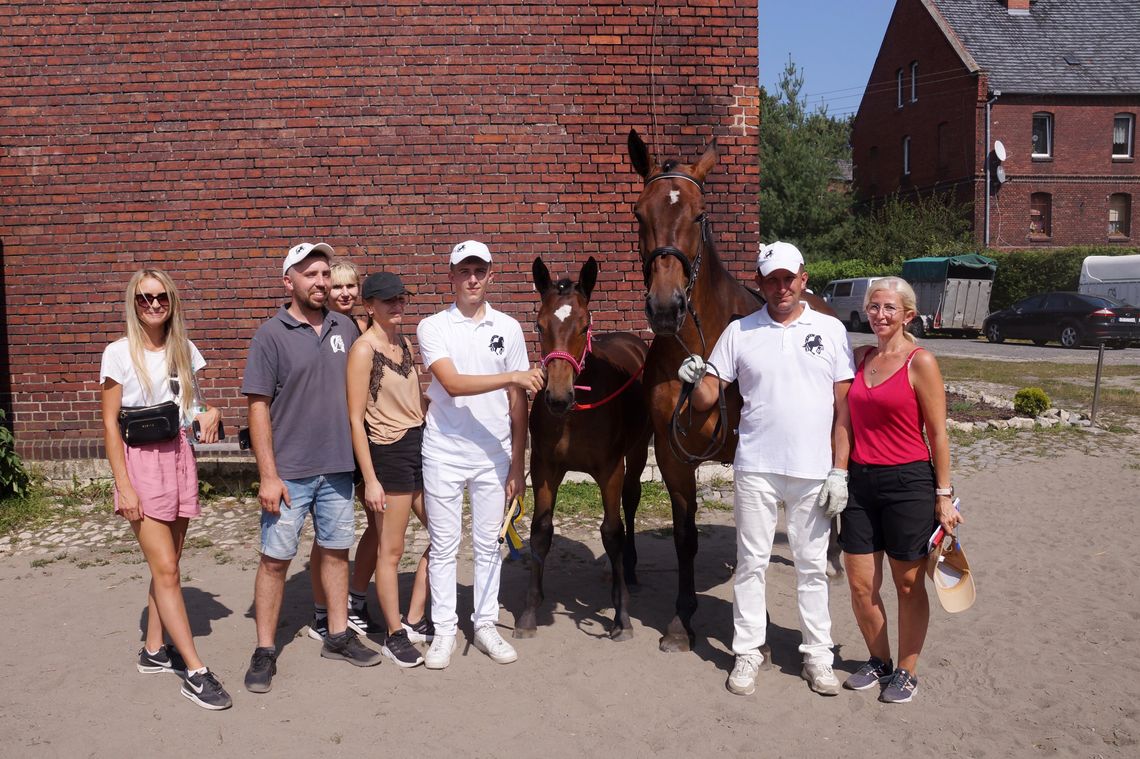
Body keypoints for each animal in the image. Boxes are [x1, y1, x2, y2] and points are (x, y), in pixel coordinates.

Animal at [515, 255, 652, 638]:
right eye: (539, 324)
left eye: (584, 324)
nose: (558, 398)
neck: (573, 416)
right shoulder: (544, 468)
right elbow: (540, 531)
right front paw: (529, 611)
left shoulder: (610, 469)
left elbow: (612, 532)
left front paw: (622, 616)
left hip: (638, 451)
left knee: (630, 502)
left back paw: (630, 571)